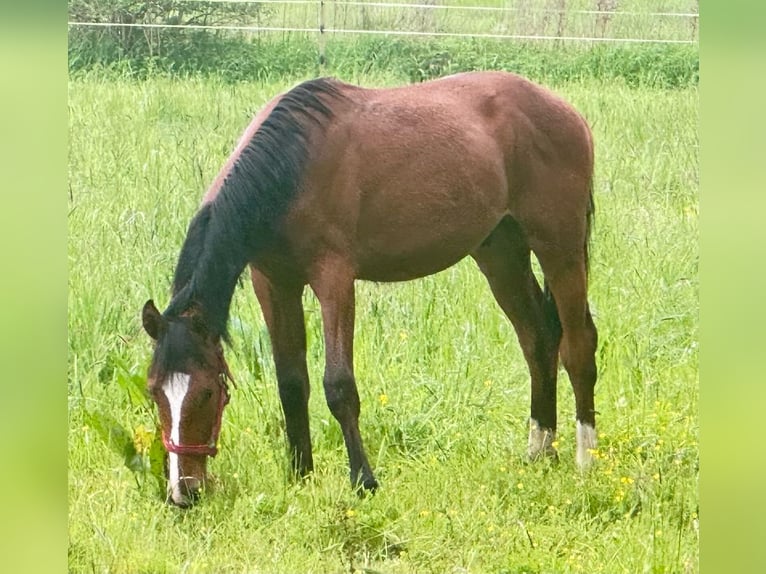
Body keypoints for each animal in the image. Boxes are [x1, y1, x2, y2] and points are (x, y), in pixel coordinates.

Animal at [141, 71, 597, 507]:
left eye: (206, 392)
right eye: (155, 393)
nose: (184, 492)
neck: (292, 166)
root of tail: (567, 112)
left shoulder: (334, 279)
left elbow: (339, 385)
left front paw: (363, 480)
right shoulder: (272, 283)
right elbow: (291, 383)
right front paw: (300, 474)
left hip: (560, 247)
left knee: (577, 346)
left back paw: (585, 458)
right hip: (500, 251)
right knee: (538, 340)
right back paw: (539, 450)